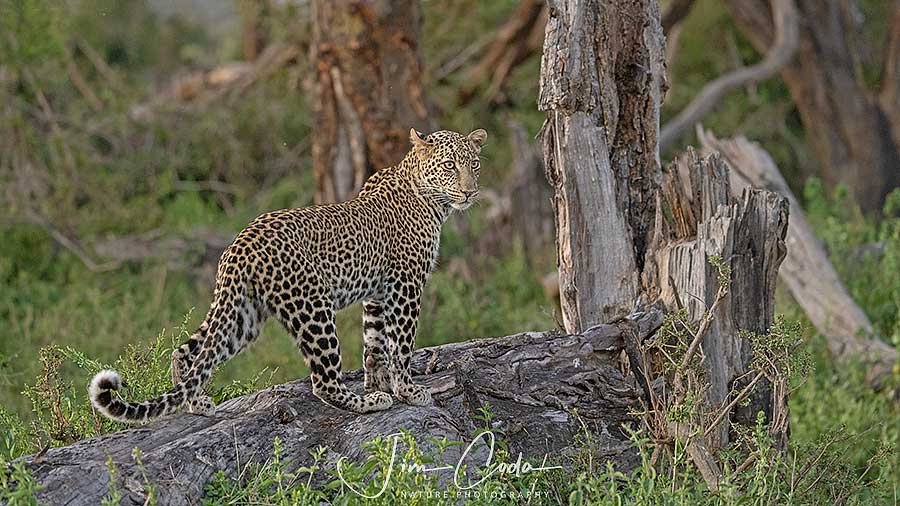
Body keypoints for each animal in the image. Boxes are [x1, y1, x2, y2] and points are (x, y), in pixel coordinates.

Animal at [89, 127, 486, 422]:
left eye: (475, 164)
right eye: (449, 165)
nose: (470, 192)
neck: (431, 199)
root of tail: (240, 244)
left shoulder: (377, 292)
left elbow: (374, 343)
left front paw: (379, 384)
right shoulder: (405, 284)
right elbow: (401, 343)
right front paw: (406, 391)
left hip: (243, 316)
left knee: (188, 351)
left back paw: (195, 403)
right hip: (312, 307)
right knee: (323, 382)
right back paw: (364, 404)